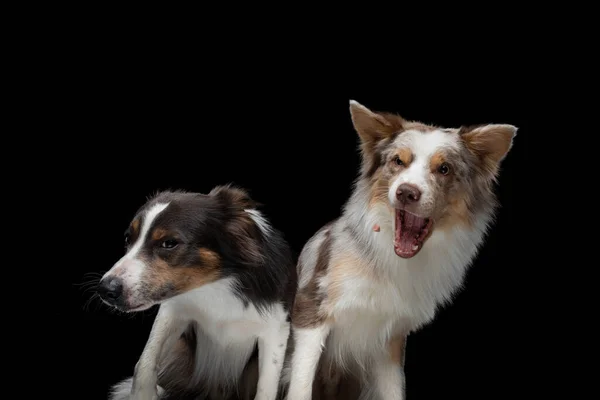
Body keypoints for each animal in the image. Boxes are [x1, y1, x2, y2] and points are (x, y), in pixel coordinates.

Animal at [95, 186, 298, 400]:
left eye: (169, 243)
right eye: (128, 238)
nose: (105, 290)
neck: (217, 284)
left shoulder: (276, 329)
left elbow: (266, 387)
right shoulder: (173, 310)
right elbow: (144, 362)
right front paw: (143, 394)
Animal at [282, 101, 516, 400]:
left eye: (444, 169)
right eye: (398, 161)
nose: (406, 192)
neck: (385, 262)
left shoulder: (390, 339)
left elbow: (393, 390)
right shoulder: (311, 312)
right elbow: (301, 383)